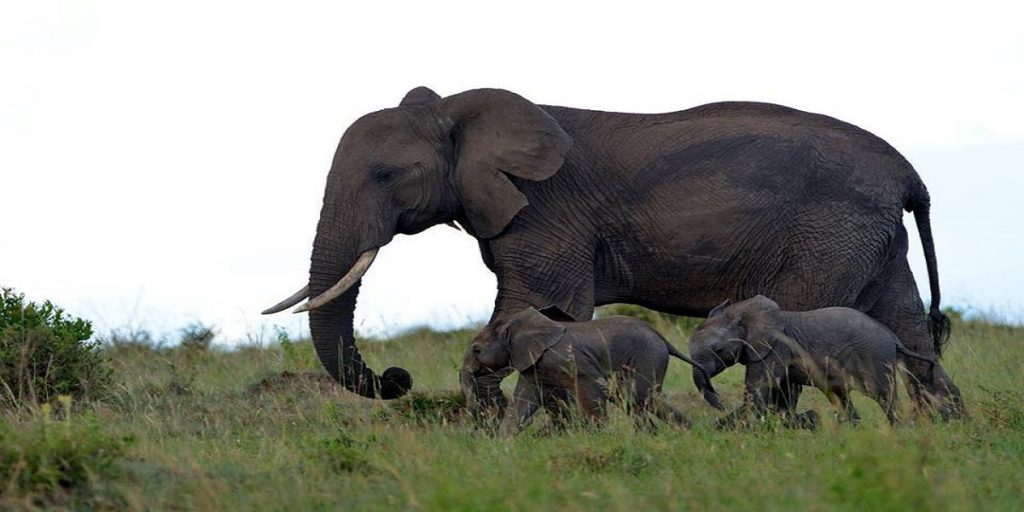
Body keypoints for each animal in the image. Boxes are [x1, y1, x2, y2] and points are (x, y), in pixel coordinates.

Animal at [468, 305, 704, 438]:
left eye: (476, 350)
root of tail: (661, 338)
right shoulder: (531, 365)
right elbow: (522, 401)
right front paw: (503, 445)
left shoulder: (571, 360)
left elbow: (591, 387)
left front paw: (598, 436)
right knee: (634, 399)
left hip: (648, 355)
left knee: (637, 396)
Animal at [688, 294, 937, 425]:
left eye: (718, 349)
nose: (721, 403)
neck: (740, 312)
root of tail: (893, 338)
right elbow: (782, 391)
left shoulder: (776, 346)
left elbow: (758, 388)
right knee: (841, 397)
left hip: (875, 357)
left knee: (884, 396)